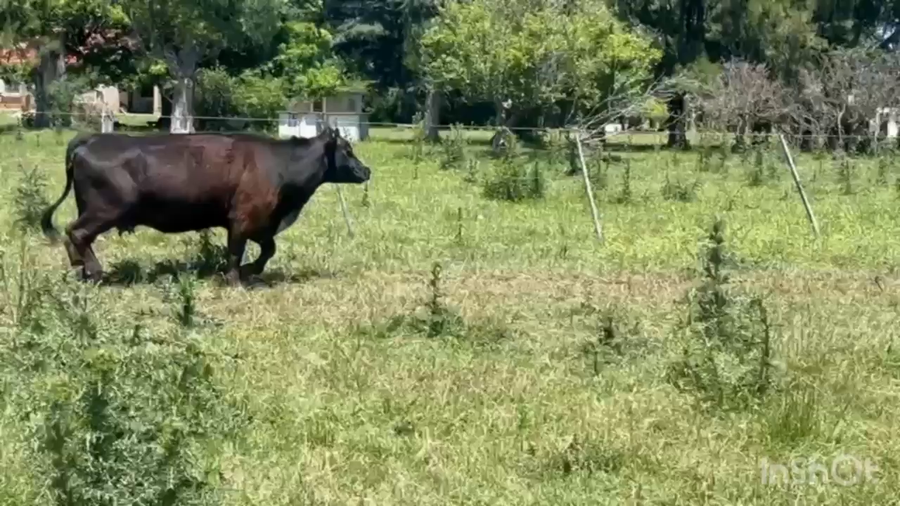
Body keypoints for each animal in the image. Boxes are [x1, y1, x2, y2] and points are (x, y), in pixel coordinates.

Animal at [40, 127, 371, 286]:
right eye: (347, 150)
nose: (367, 170)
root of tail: (90, 139)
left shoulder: (262, 221)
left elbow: (268, 249)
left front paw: (252, 271)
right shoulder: (242, 218)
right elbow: (236, 251)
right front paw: (235, 279)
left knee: (75, 236)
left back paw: (82, 269)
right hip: (105, 210)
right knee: (77, 233)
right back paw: (95, 272)